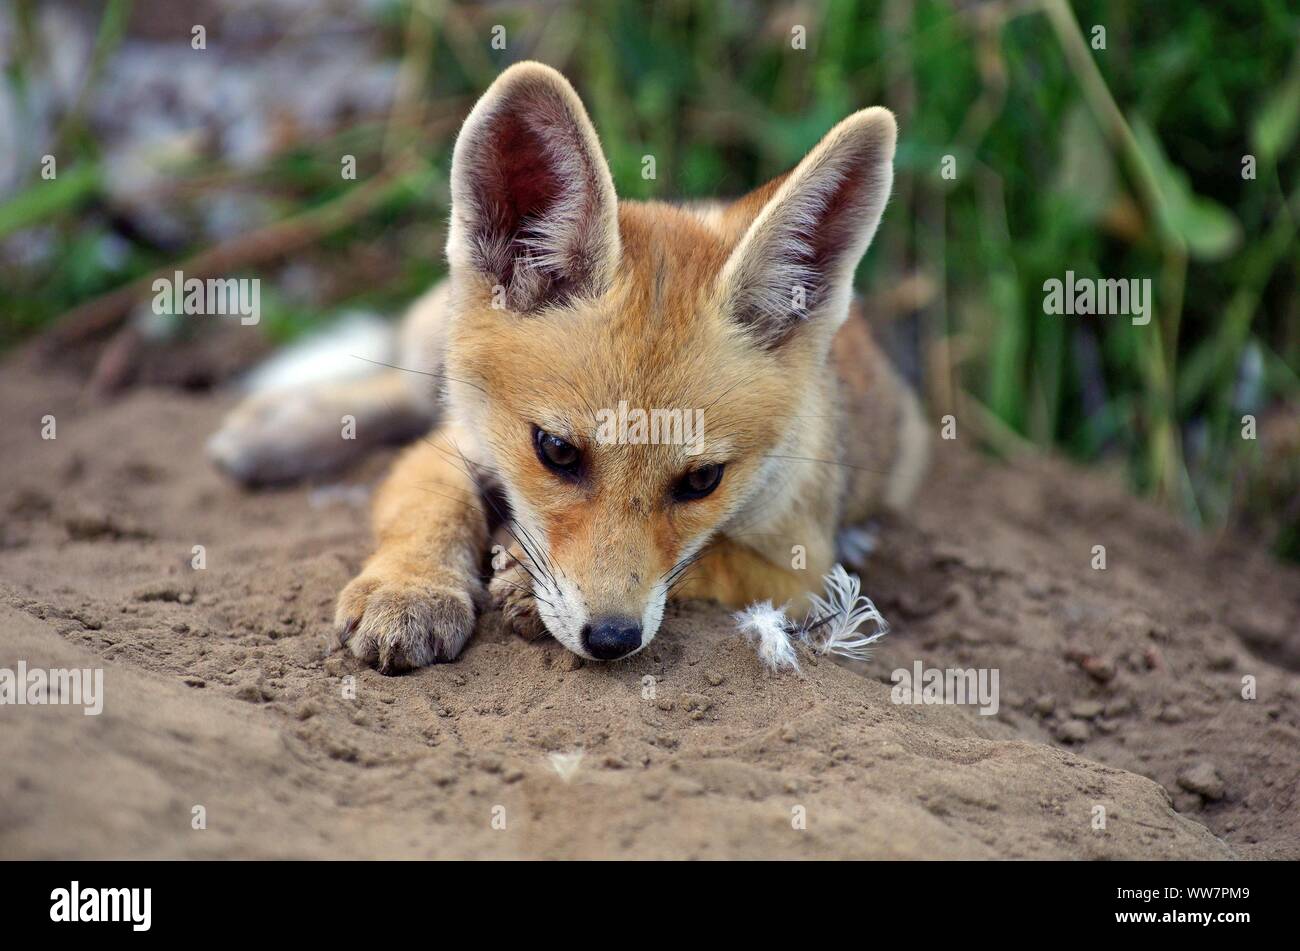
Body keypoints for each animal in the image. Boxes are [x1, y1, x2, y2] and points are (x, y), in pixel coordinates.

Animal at [208, 62, 929, 672]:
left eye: (703, 481)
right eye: (556, 451)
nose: (610, 638)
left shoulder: (807, 569)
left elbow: (715, 558)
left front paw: (524, 586)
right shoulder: (458, 442)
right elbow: (432, 507)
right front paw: (414, 587)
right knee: (403, 389)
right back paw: (284, 430)